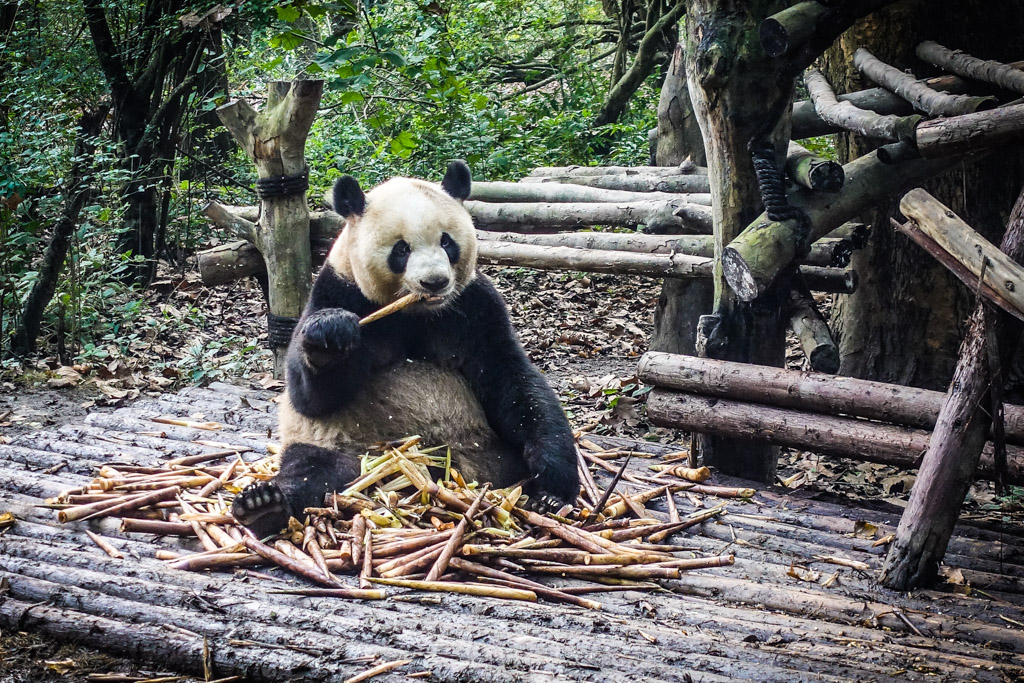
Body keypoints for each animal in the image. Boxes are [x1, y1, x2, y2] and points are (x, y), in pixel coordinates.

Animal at [232, 161, 580, 537]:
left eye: (447, 241)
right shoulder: (338, 290)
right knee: (315, 470)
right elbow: (308, 397)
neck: (416, 312)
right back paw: (263, 505)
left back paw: (544, 500)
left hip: (484, 446)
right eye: (401, 249)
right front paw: (330, 337)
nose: (435, 282)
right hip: (341, 443)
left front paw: (553, 479)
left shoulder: (474, 305)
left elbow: (511, 380)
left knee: (507, 467)